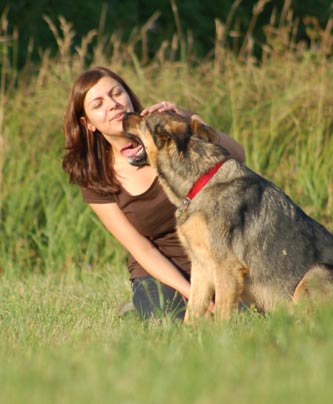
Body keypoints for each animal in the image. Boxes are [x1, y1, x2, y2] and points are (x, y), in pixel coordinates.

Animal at [122, 112, 332, 320]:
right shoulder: (201, 267)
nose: (124, 114)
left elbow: (221, 316)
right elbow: (192, 311)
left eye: (143, 118)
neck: (201, 181)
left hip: (314, 274)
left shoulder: (226, 267)